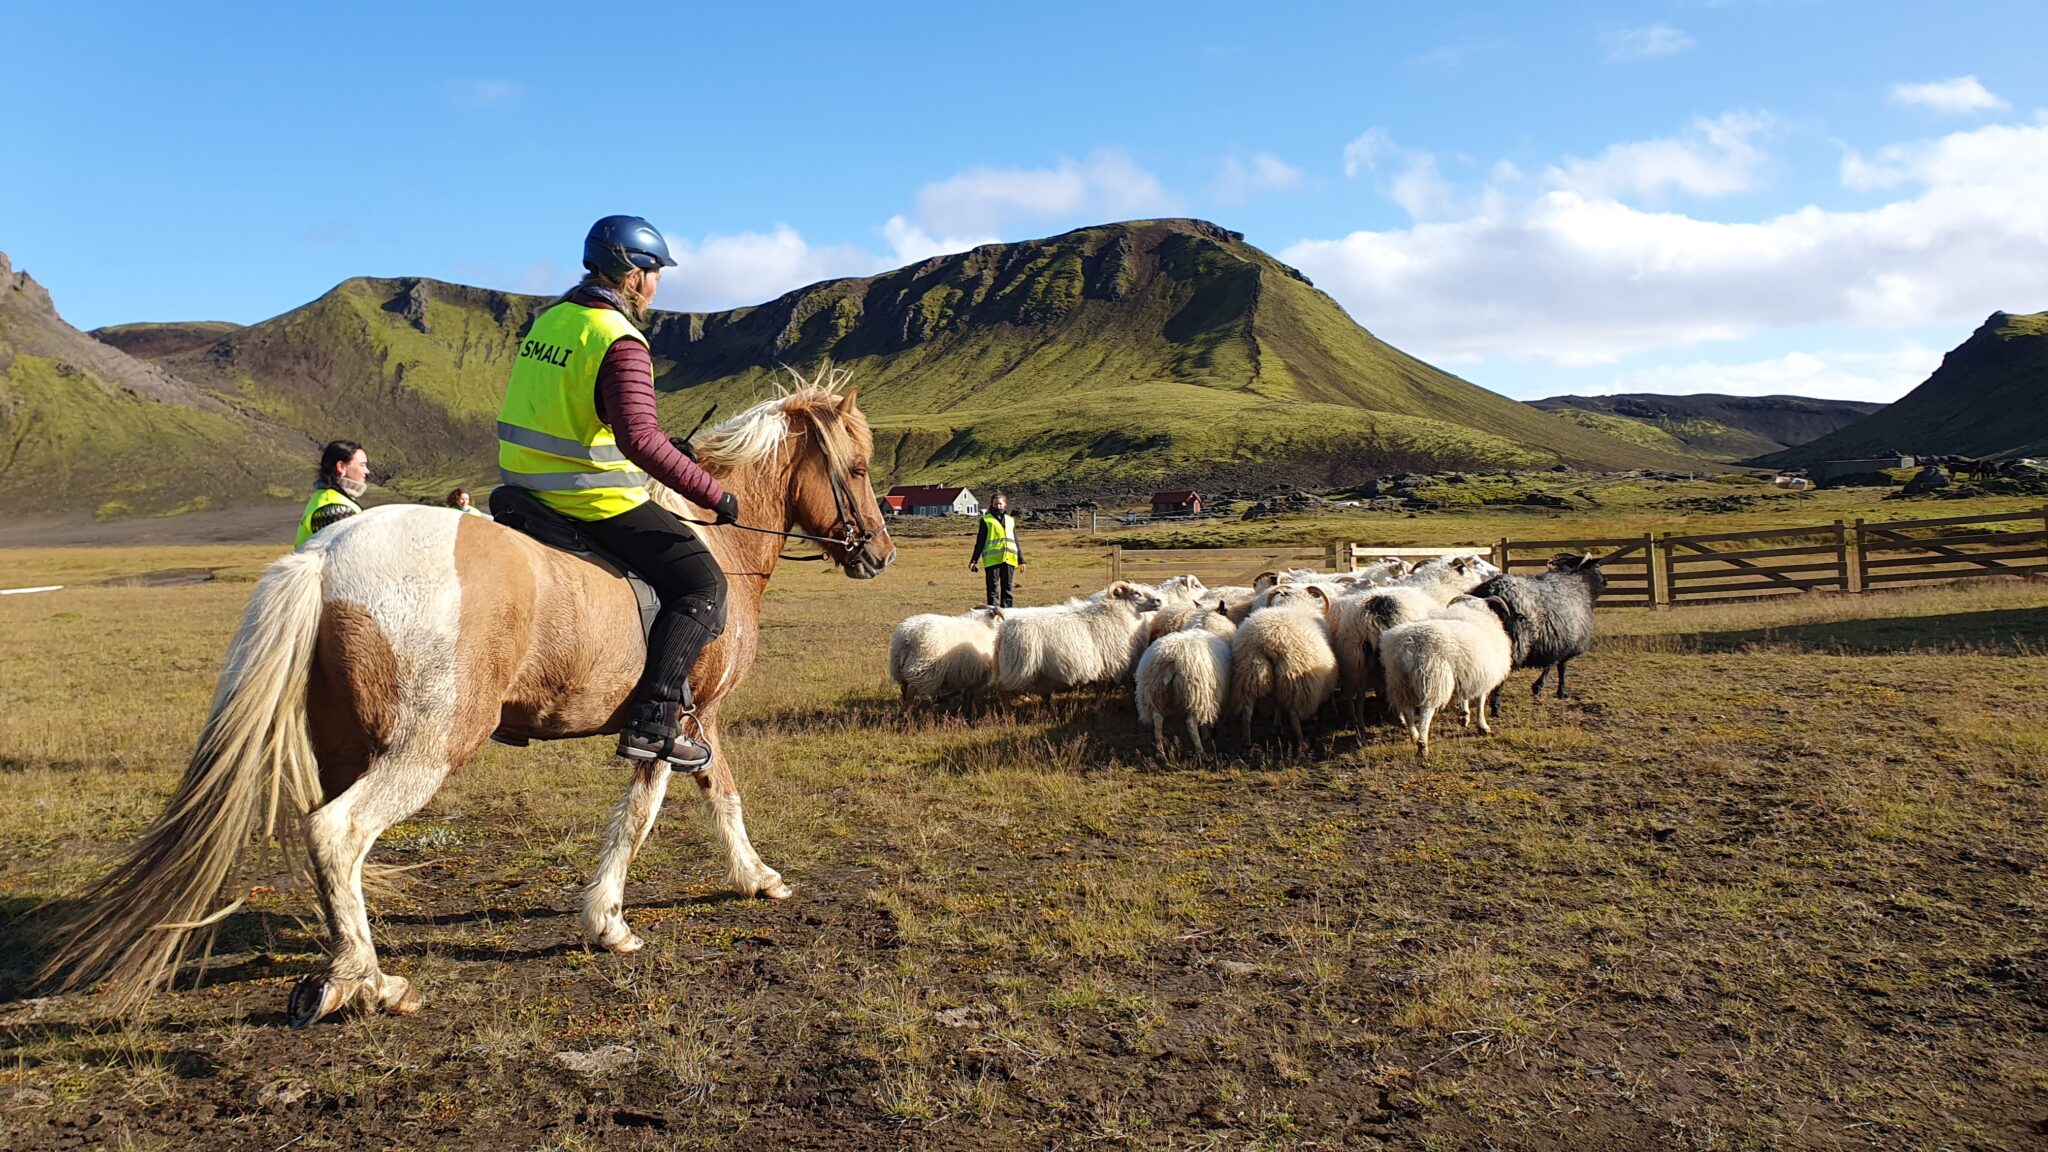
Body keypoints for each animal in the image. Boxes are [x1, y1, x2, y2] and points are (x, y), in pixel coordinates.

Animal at [39, 368, 897, 1020]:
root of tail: (327, 552)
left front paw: (739, 882)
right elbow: (665, 809)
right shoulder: (683, 717)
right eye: (857, 469)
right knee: (336, 834)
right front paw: (615, 920)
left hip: (347, 743)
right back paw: (369, 984)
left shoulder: (686, 722)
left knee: (329, 846)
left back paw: (342, 968)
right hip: (429, 744)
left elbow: (704, 797)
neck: (722, 542)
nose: (881, 554)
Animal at [1138, 606, 1228, 758]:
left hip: (1154, 693)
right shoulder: (1210, 696)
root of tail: (1171, 661)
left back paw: (1160, 752)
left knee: (1157, 722)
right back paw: (1200, 751)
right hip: (1195, 694)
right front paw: (1207, 734)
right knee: (1191, 724)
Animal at [1220, 582, 1335, 746]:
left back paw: (1247, 741)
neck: (1295, 602)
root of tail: (1270, 642)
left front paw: (1277, 724)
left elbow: (1276, 705)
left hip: (1250, 673)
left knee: (1248, 711)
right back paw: (1302, 743)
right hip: (1295, 678)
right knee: (1293, 713)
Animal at [1384, 594, 1515, 758]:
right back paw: (1422, 745)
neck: (1475, 614)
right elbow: (1480, 703)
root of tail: (1409, 645)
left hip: (1400, 682)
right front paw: (1483, 726)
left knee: (1407, 711)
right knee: (1426, 711)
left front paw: (1464, 716)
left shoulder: (1467, 673)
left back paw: (1414, 736)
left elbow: (1464, 696)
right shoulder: (1483, 676)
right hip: (1432, 679)